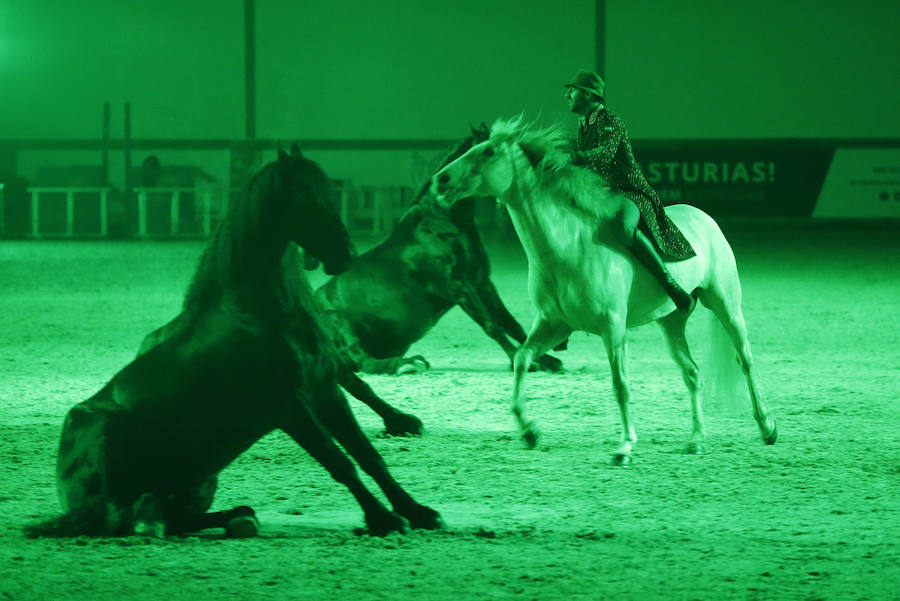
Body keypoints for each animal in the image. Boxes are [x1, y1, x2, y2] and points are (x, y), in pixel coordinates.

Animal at [23, 146, 440, 540]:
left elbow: (368, 456)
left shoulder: (325, 391)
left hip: (200, 481)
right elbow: (341, 463)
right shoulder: (288, 407)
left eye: (330, 193)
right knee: (123, 519)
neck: (259, 314)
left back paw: (241, 517)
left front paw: (418, 512)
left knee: (175, 518)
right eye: (306, 196)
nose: (345, 255)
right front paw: (384, 520)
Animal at [312, 126, 560, 380]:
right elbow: (493, 325)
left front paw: (547, 360)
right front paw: (520, 361)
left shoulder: (482, 283)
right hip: (338, 320)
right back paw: (405, 364)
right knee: (365, 362)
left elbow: (510, 322)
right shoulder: (456, 286)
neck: (440, 223)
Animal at [430, 116, 772, 464]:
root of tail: (703, 217)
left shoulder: (613, 328)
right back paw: (696, 440)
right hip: (671, 321)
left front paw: (625, 446)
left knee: (745, 360)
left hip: (726, 305)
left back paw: (766, 427)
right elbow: (522, 359)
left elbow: (620, 384)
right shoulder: (552, 324)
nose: (440, 180)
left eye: (488, 152)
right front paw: (529, 431)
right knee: (692, 373)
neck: (568, 248)